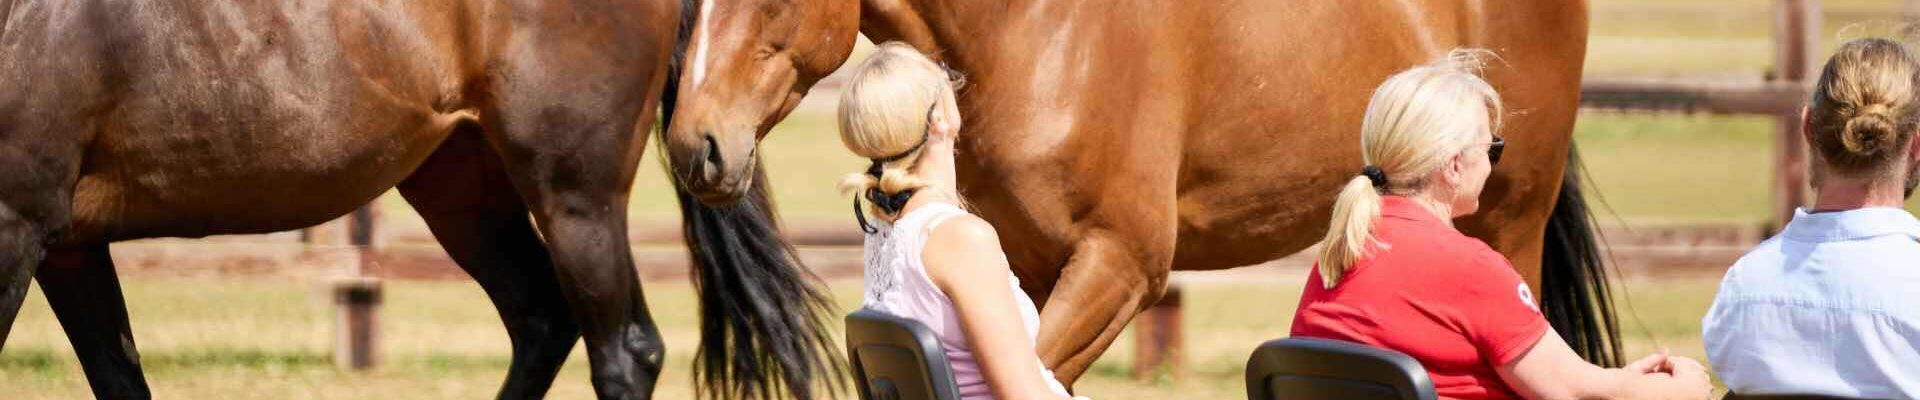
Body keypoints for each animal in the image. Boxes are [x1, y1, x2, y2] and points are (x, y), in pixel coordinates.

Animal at [0, 1, 841, 399]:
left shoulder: (17, 226)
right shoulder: (67, 243)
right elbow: (120, 377)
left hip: (576, 199)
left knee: (624, 352)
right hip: (459, 190)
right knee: (542, 321)